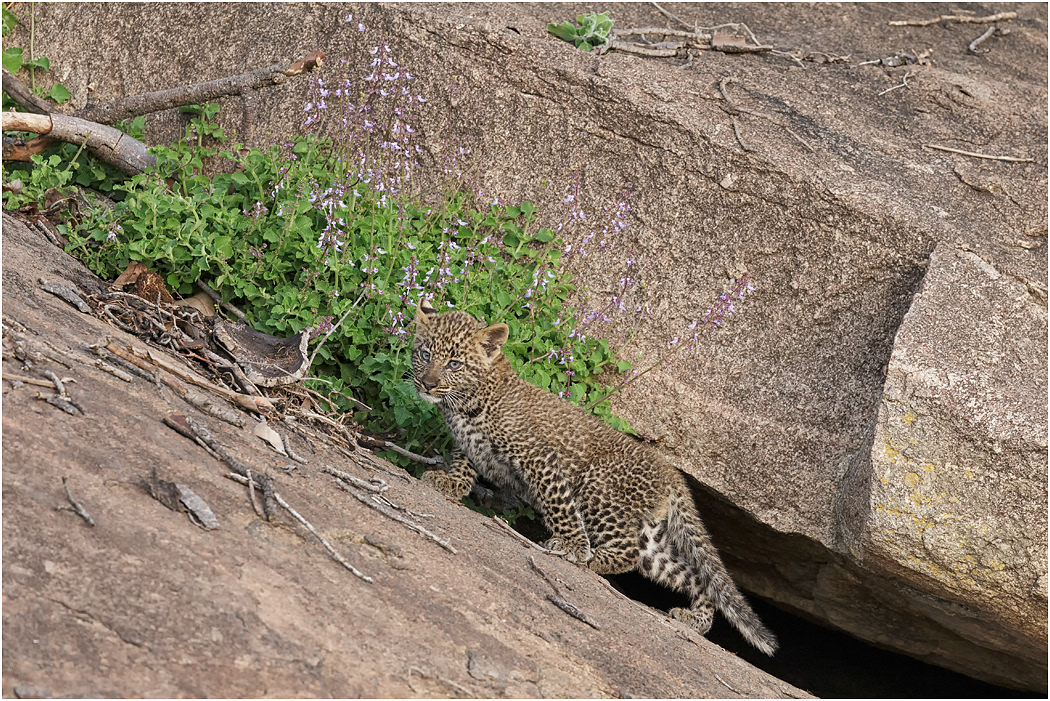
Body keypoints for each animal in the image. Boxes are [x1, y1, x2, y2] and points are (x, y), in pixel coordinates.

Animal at [410, 299, 777, 655]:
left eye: (455, 364)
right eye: (425, 354)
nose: (428, 383)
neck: (464, 403)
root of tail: (673, 474)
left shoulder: (540, 457)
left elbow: (559, 505)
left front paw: (573, 546)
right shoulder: (470, 446)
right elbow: (463, 464)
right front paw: (450, 483)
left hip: (598, 490)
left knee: (627, 551)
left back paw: (585, 556)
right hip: (651, 538)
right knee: (688, 574)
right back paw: (694, 620)